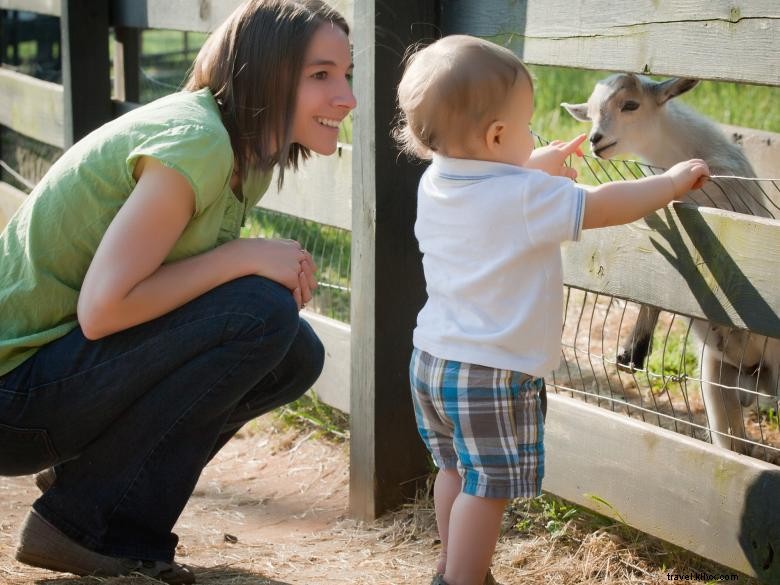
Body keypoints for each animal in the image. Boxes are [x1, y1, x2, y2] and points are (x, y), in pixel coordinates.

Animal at [564, 73, 776, 456]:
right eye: (591, 110)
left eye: (630, 104)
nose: (595, 140)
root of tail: (756, 379)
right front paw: (633, 350)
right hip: (717, 376)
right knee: (733, 444)